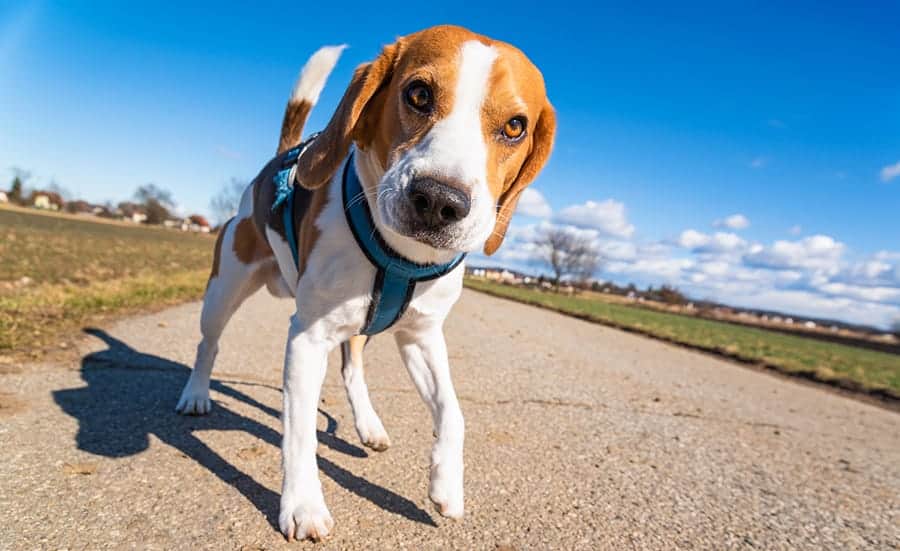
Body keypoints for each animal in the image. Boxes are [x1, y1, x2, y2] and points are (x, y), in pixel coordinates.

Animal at [175, 24, 556, 540]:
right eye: (418, 93)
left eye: (516, 126)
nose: (439, 200)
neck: (400, 256)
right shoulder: (308, 339)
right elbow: (299, 433)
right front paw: (303, 505)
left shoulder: (422, 337)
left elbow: (453, 412)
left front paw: (447, 485)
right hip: (223, 288)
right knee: (208, 344)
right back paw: (196, 393)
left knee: (353, 369)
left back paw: (369, 425)